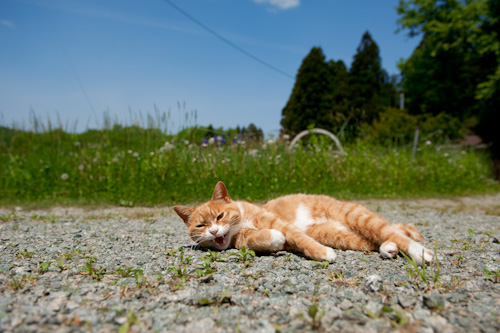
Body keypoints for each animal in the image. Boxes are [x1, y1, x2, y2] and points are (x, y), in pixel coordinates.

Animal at [174, 180, 432, 264]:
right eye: (200, 226)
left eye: (219, 216)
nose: (214, 230)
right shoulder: (244, 241)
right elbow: (265, 239)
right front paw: (273, 240)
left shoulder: (277, 222)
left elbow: (298, 237)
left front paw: (321, 253)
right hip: (340, 235)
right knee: (379, 237)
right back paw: (388, 248)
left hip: (355, 216)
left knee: (393, 230)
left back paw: (421, 252)